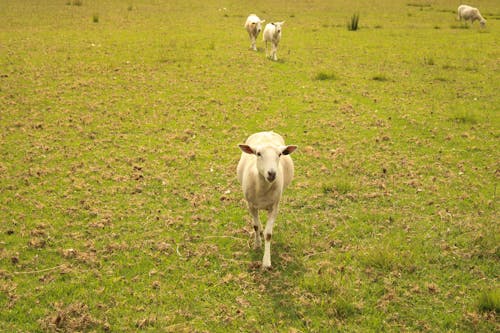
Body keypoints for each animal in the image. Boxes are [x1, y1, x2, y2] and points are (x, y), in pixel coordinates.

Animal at [235, 130, 294, 268]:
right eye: (258, 154)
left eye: (279, 154)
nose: (272, 173)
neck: (262, 189)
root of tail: (267, 132)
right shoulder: (250, 205)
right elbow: (255, 226)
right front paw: (257, 245)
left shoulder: (274, 207)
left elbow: (268, 234)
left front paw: (266, 262)